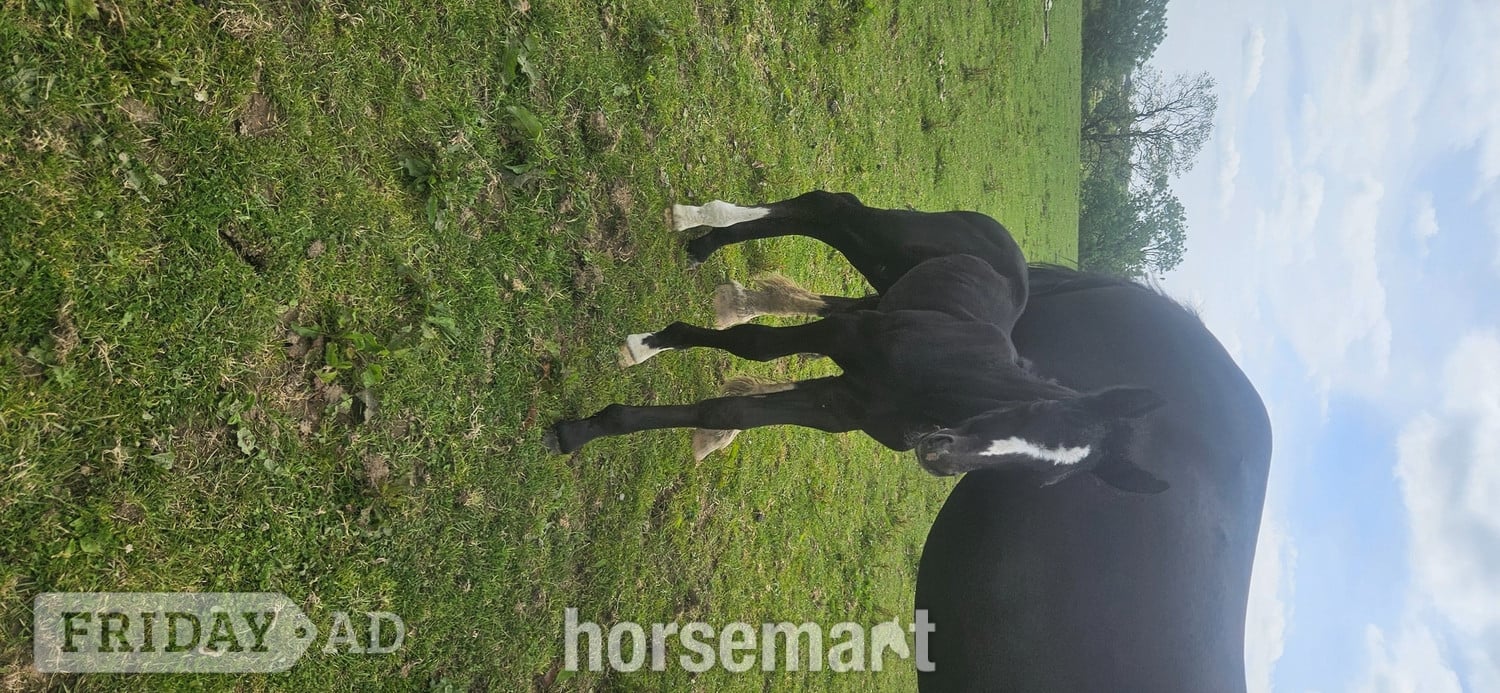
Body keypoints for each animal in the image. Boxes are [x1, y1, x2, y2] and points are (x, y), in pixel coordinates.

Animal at [546, 190, 1272, 691]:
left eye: (1044, 479)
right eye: (1033, 411)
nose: (941, 451)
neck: (941, 378)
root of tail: (1002, 240)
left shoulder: (840, 406)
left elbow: (727, 405)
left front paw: (587, 426)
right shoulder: (843, 346)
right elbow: (749, 349)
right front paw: (639, 352)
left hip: (883, 284)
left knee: (826, 237)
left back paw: (708, 250)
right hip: (884, 246)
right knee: (829, 206)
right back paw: (700, 230)